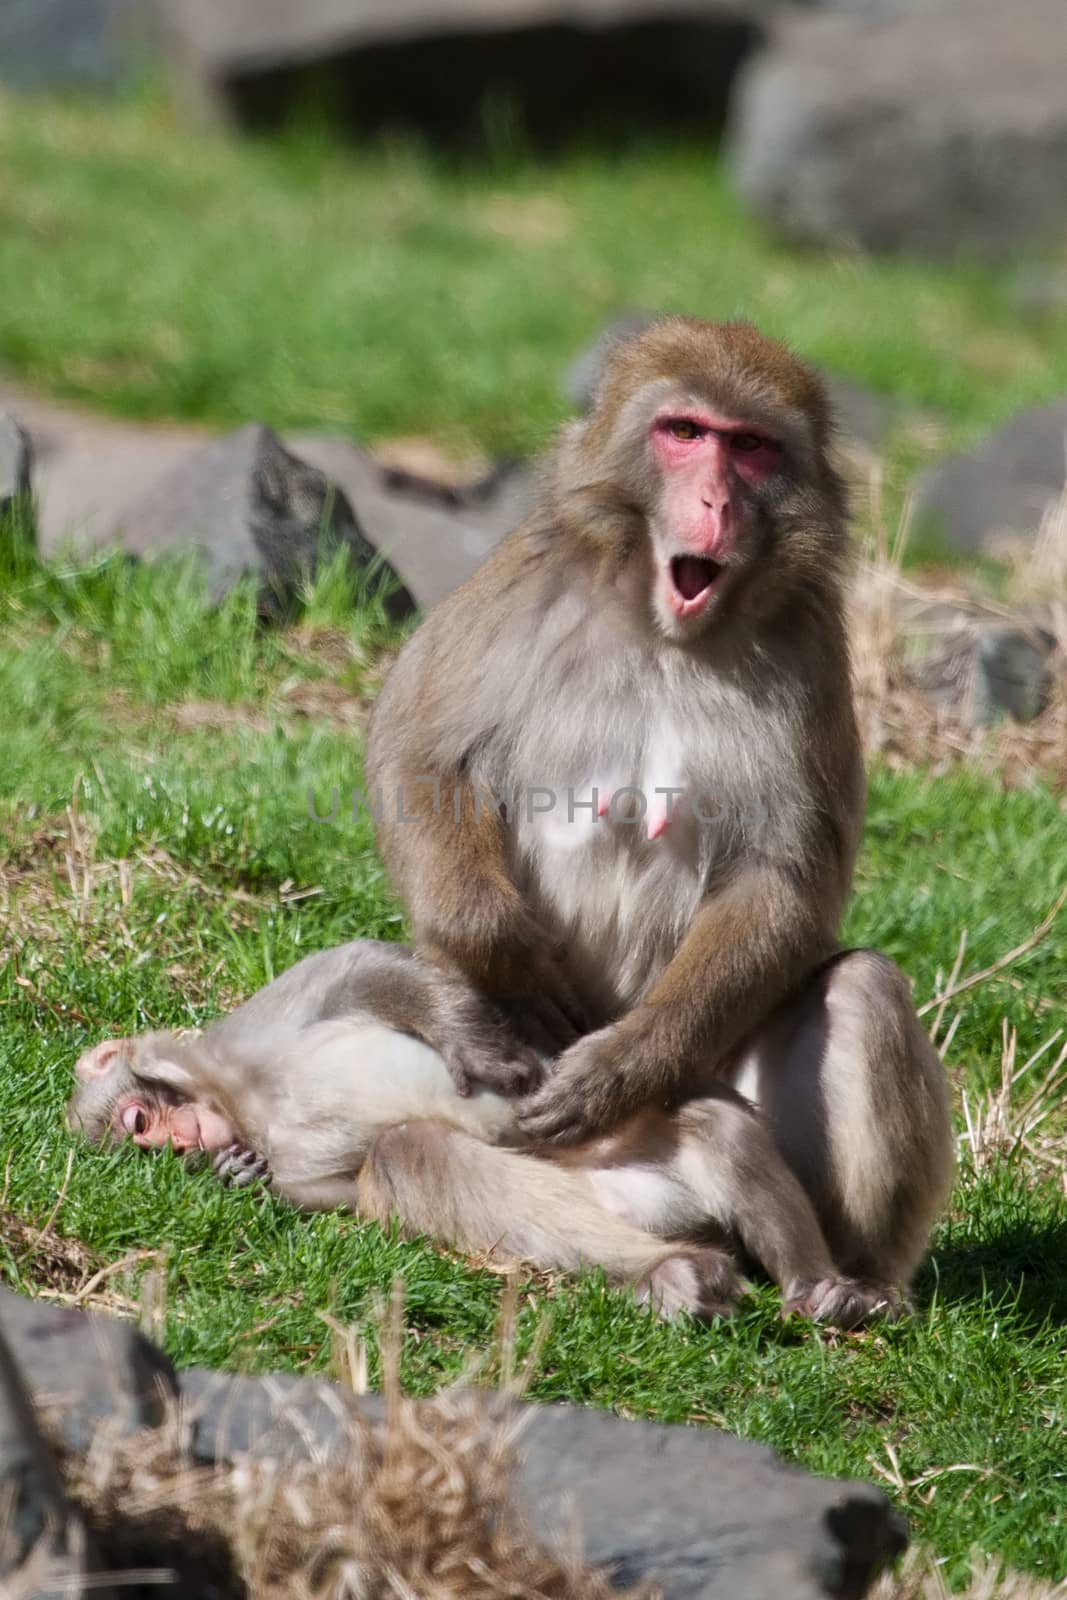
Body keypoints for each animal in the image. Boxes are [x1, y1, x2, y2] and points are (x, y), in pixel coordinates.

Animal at [64, 934, 902, 1324]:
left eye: (138, 1120)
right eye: (141, 1141)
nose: (175, 1142)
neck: (248, 1105)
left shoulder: (258, 1030)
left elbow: (368, 971)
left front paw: (470, 1041)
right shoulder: (289, 1159)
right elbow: (340, 1191)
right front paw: (239, 1172)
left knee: (703, 1128)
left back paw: (815, 1286)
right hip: (628, 1196)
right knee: (416, 1153)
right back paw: (675, 1273)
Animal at [369, 315, 959, 1312]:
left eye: (750, 447)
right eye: (684, 432)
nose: (717, 502)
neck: (661, 630)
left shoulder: (811, 649)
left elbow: (782, 881)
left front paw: (619, 1068)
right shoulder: (526, 581)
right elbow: (418, 757)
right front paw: (512, 956)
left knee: (863, 989)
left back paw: (851, 1287)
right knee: (418, 1148)